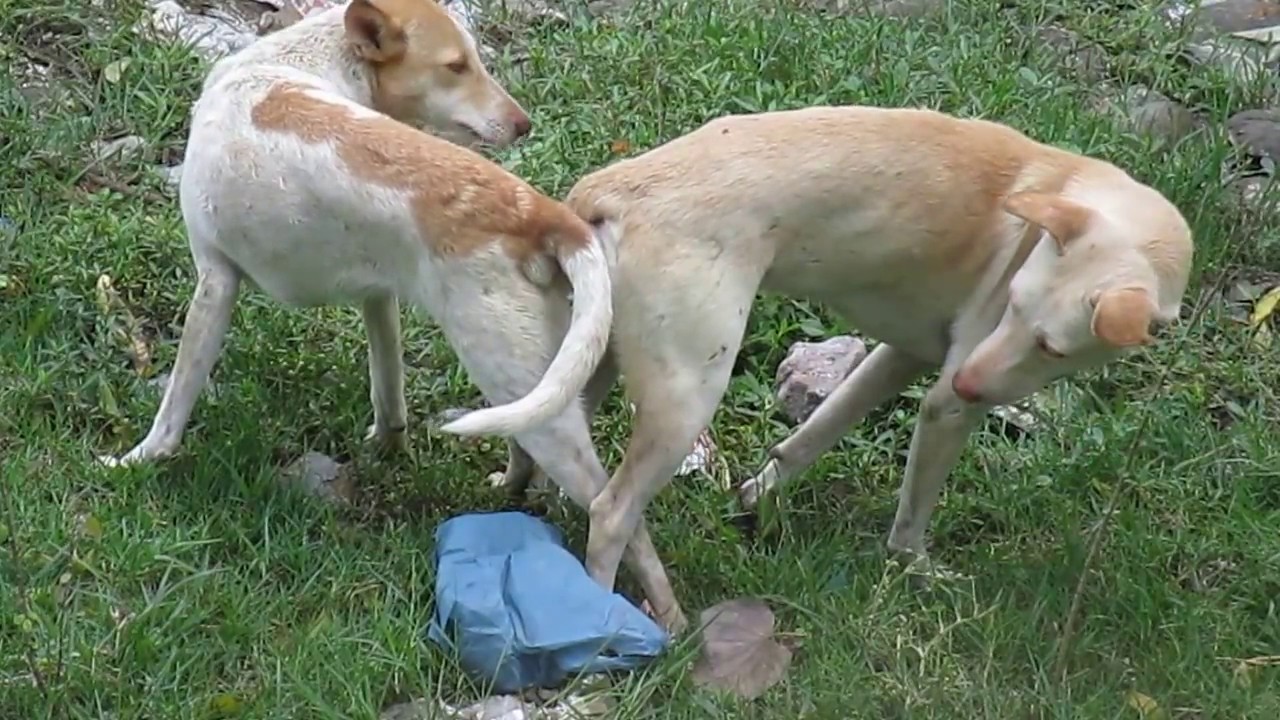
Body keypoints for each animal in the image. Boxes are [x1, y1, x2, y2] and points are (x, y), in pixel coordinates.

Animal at [98, 0, 686, 620]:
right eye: (457, 66)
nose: (524, 124)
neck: (291, 63)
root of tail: (538, 211)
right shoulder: (377, 297)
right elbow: (389, 394)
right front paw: (387, 449)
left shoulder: (214, 282)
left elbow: (173, 407)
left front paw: (141, 458)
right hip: (534, 387)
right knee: (533, 460)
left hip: (525, 393)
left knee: (618, 514)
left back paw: (659, 620)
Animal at [442, 103, 1198, 625]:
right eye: (1014, 307)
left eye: (1052, 347)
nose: (966, 382)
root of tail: (614, 183)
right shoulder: (944, 409)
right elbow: (912, 518)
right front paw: (917, 571)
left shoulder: (900, 358)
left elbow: (809, 437)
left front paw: (757, 500)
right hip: (686, 397)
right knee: (611, 511)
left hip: (585, 361)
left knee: (537, 439)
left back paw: (519, 491)